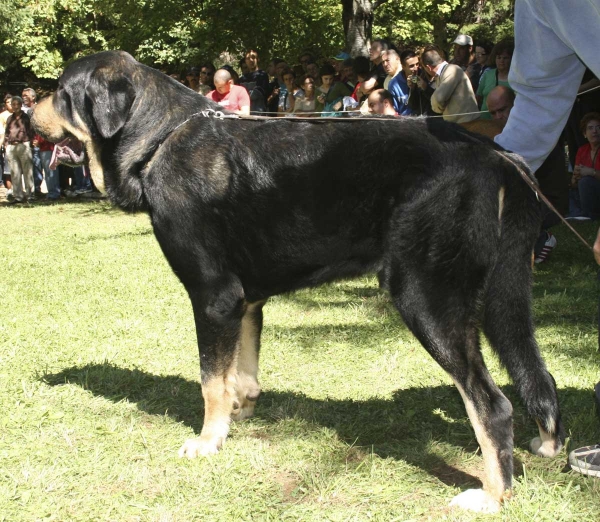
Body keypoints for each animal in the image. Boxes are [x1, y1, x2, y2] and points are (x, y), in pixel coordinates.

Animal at [35, 50, 564, 510]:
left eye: (60, 91)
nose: (28, 112)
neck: (161, 137)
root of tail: (497, 156)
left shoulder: (213, 295)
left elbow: (210, 380)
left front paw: (208, 441)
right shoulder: (245, 300)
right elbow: (240, 372)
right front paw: (240, 413)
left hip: (427, 299)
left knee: (492, 405)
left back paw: (492, 496)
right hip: (499, 298)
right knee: (538, 379)